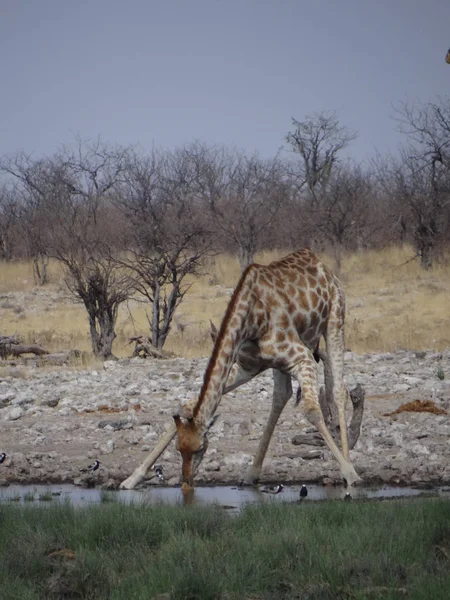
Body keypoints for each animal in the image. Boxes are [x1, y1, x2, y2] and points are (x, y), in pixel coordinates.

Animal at [119, 251, 362, 490]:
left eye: (200, 448)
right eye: (179, 449)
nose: (186, 482)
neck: (253, 318)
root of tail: (321, 264)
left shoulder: (303, 358)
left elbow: (311, 411)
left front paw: (350, 474)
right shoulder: (247, 366)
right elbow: (187, 405)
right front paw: (133, 477)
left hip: (334, 320)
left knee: (338, 390)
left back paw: (349, 467)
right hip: (285, 360)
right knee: (282, 395)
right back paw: (252, 473)